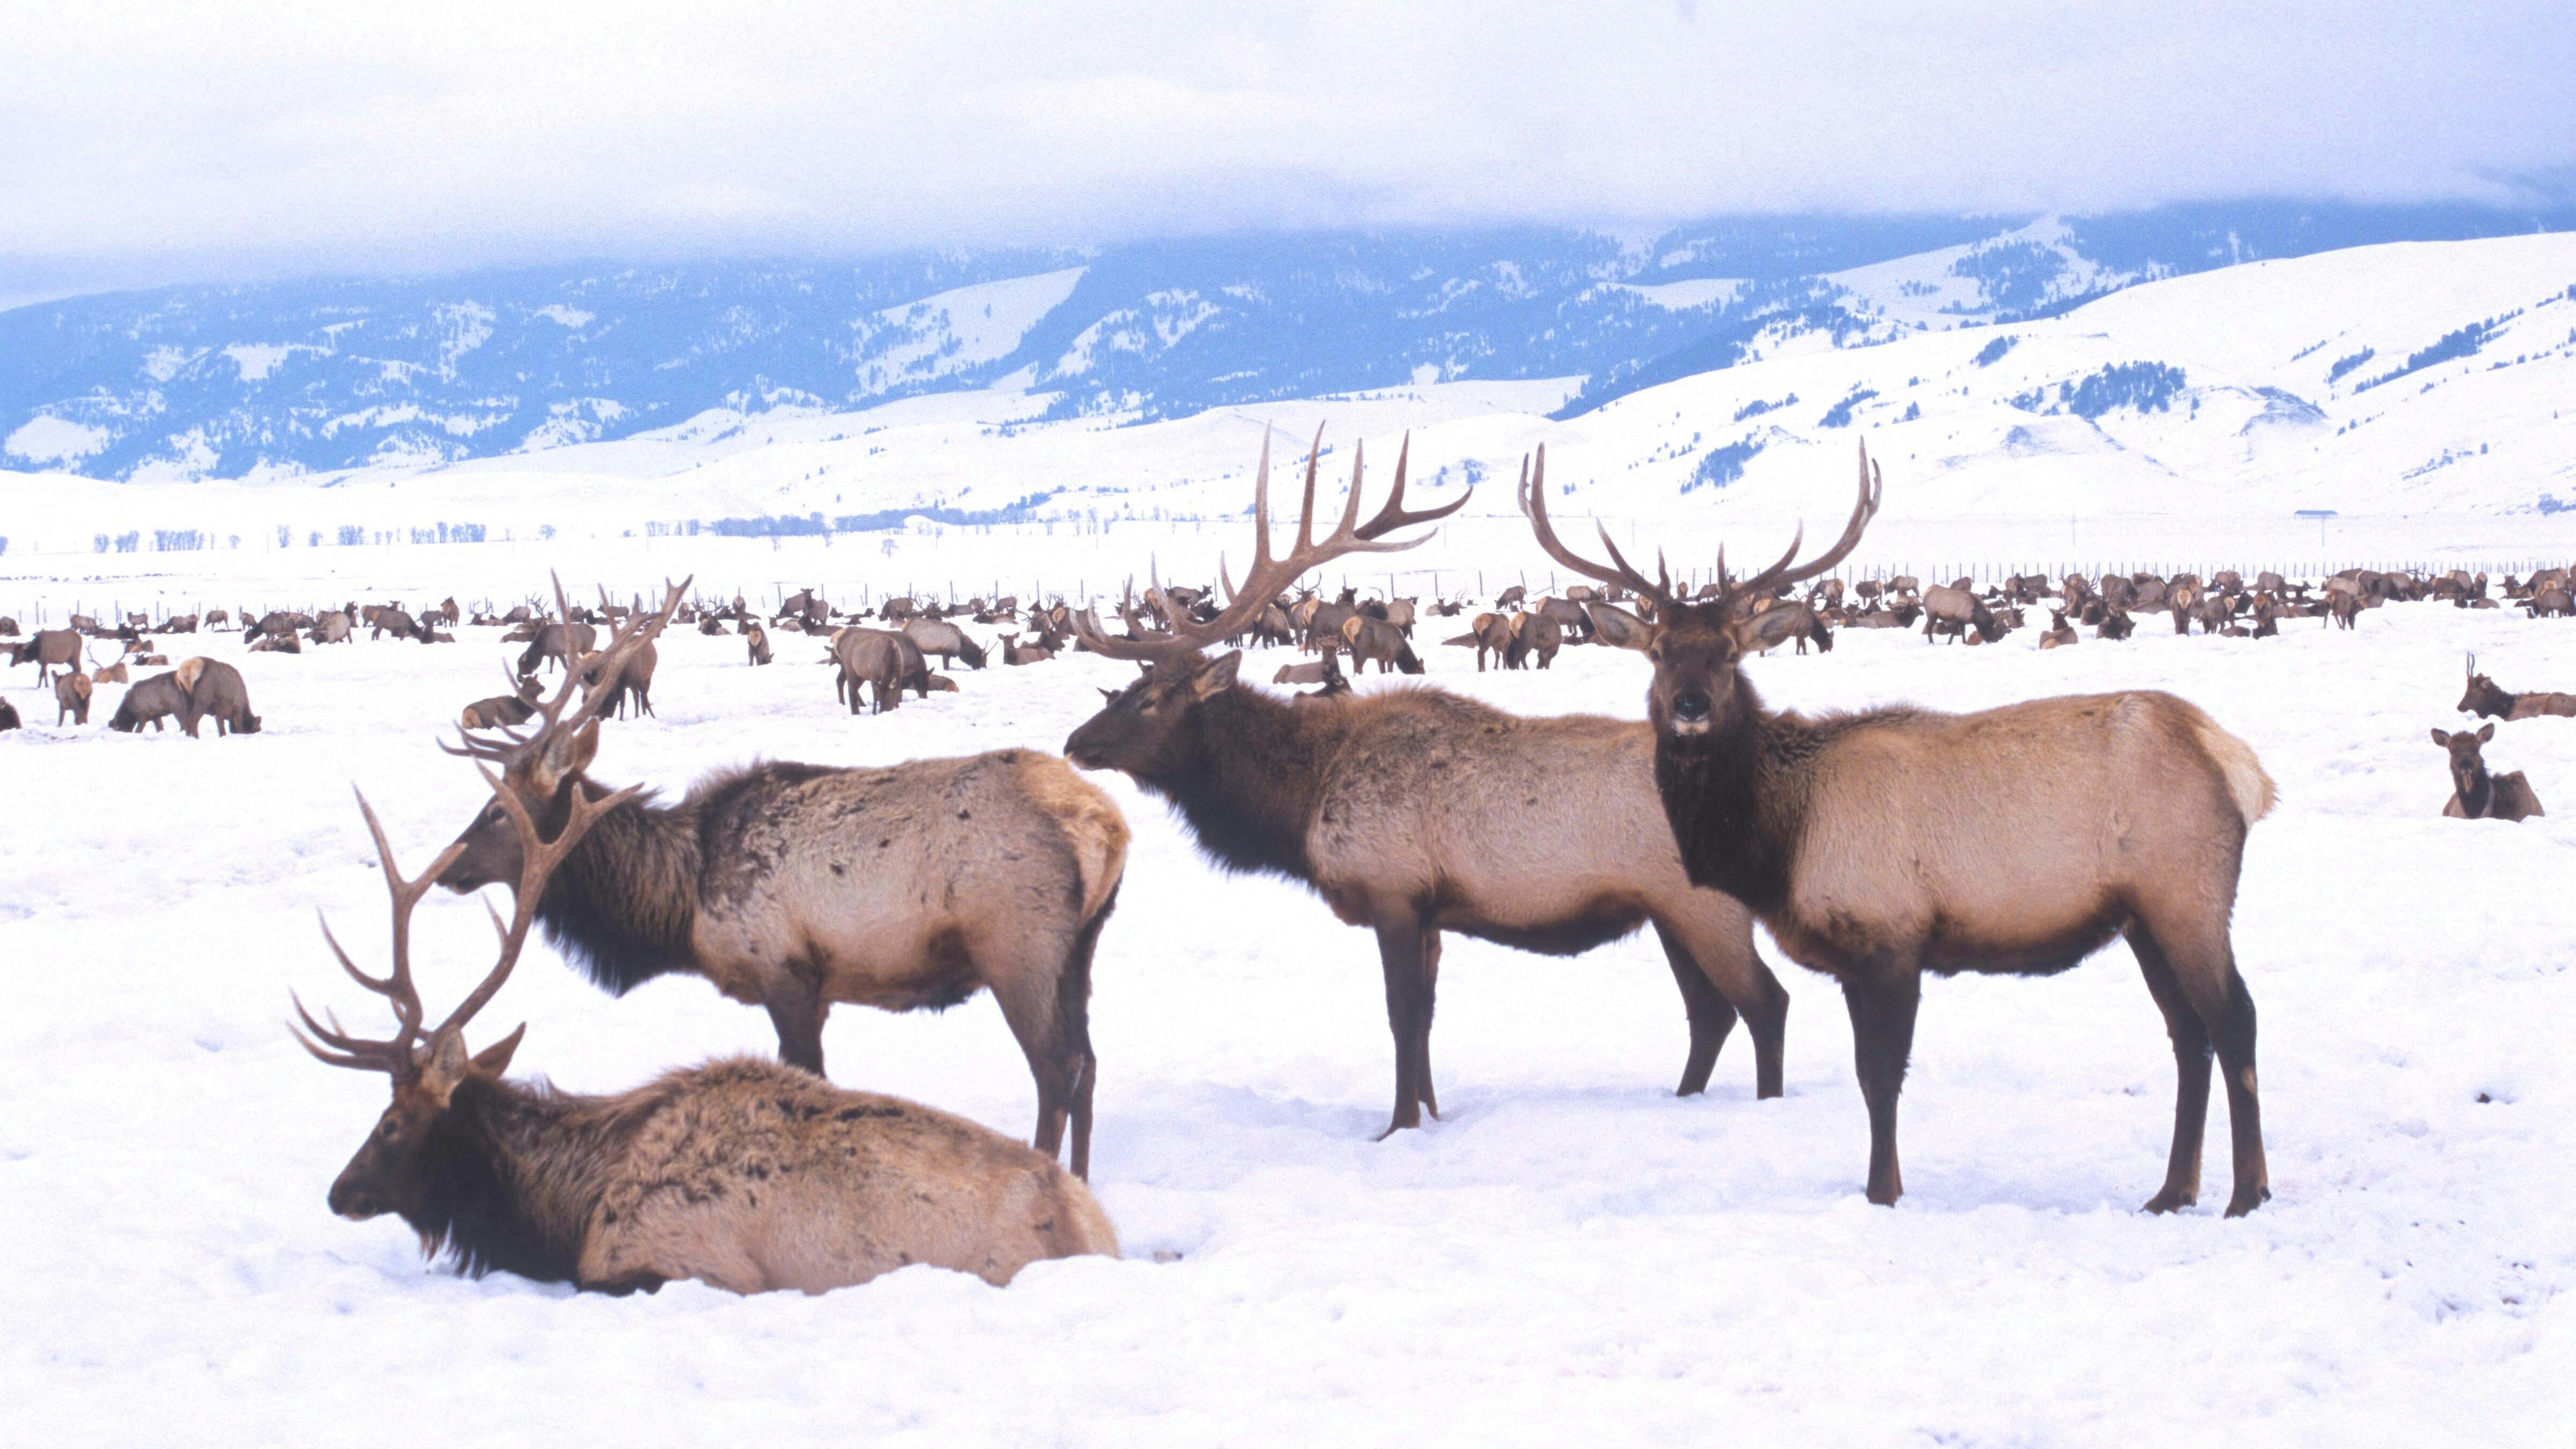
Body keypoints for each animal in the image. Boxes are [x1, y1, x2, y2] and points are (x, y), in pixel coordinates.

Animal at [437, 579, 1128, 1177]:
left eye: (498, 812)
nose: (447, 869)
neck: (680, 901)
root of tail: (1106, 824)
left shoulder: (784, 972)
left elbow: (811, 1083)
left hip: (1018, 949)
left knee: (1056, 1069)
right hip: (1081, 950)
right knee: (1090, 1064)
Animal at [1065, 428, 1792, 1140]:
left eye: (1150, 700)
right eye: (1121, 690)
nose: (1076, 744)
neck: (1301, 803)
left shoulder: (1393, 890)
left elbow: (1401, 1016)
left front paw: (1397, 1127)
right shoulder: (1433, 911)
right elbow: (1427, 1022)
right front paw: (1432, 1114)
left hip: (1704, 906)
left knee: (1764, 1003)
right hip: (1670, 910)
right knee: (1711, 1014)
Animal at [1528, 438, 2278, 1216]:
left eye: (1731, 652)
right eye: (1658, 652)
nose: (1691, 705)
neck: (1778, 842)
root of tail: (2242, 768)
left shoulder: (1890, 935)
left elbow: (1881, 1079)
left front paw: (1882, 1192)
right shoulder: (1855, 958)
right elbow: (1870, 1076)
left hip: (2188, 893)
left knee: (2235, 1020)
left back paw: (2246, 1193)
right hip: (2142, 917)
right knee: (2188, 1034)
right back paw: (2172, 1191)